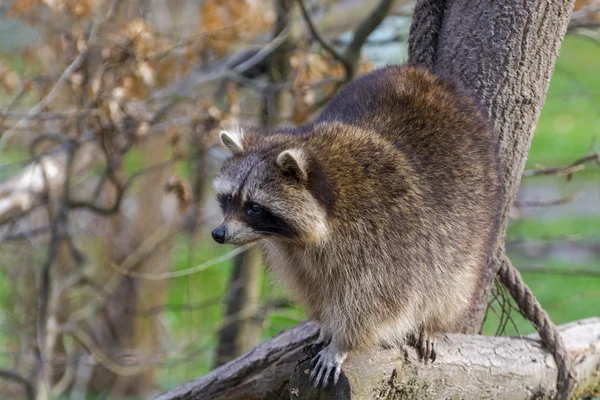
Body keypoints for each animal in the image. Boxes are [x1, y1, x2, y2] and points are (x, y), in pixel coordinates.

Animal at [211, 65, 502, 388]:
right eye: (228, 199)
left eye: (254, 207)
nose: (219, 234)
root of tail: (426, 76)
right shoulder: (295, 256)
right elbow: (316, 288)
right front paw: (327, 325)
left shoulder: (385, 236)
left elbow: (374, 301)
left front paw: (343, 342)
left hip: (477, 210)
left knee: (453, 276)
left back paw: (433, 321)